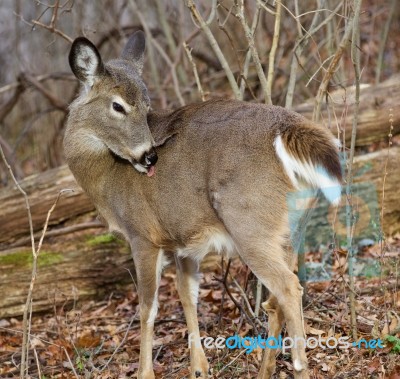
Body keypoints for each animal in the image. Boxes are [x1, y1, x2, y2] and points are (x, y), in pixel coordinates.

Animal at [65, 30, 340, 379]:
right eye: (118, 105)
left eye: (146, 106)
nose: (150, 156)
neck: (106, 177)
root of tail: (290, 131)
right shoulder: (183, 238)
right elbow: (187, 294)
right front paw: (199, 366)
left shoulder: (142, 234)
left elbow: (147, 308)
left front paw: (145, 372)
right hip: (292, 228)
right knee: (278, 296)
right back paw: (265, 370)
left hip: (249, 223)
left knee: (289, 287)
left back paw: (299, 366)